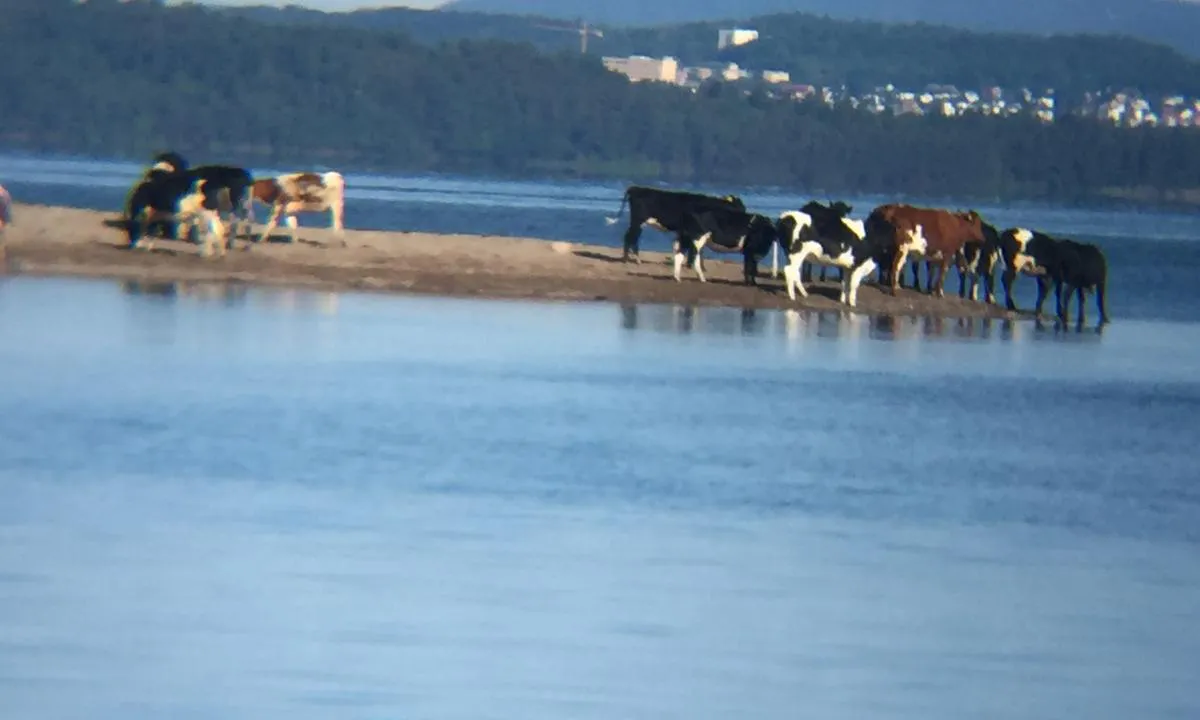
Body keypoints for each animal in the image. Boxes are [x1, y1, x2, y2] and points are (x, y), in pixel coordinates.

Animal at [604, 186, 744, 264]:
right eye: (738, 206)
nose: (745, 214)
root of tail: (635, 188)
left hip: (637, 222)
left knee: (630, 237)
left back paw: (628, 258)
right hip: (638, 220)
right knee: (631, 237)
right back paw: (634, 260)